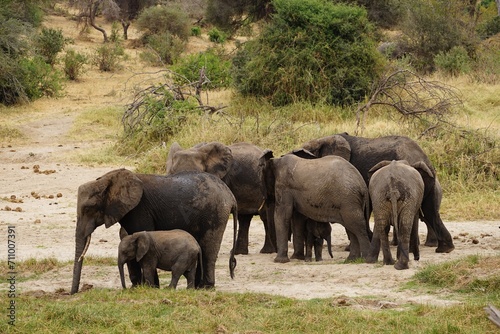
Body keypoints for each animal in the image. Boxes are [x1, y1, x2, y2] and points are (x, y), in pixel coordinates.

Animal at [69, 168, 238, 294]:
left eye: (89, 208)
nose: (73, 293)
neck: (106, 180)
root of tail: (230, 195)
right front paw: (137, 288)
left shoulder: (139, 209)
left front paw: (150, 288)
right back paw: (196, 288)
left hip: (216, 213)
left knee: (209, 249)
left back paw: (205, 288)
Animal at [298, 133, 456, 253]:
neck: (324, 138)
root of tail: (423, 158)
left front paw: (352, 247)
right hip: (428, 180)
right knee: (430, 211)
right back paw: (444, 249)